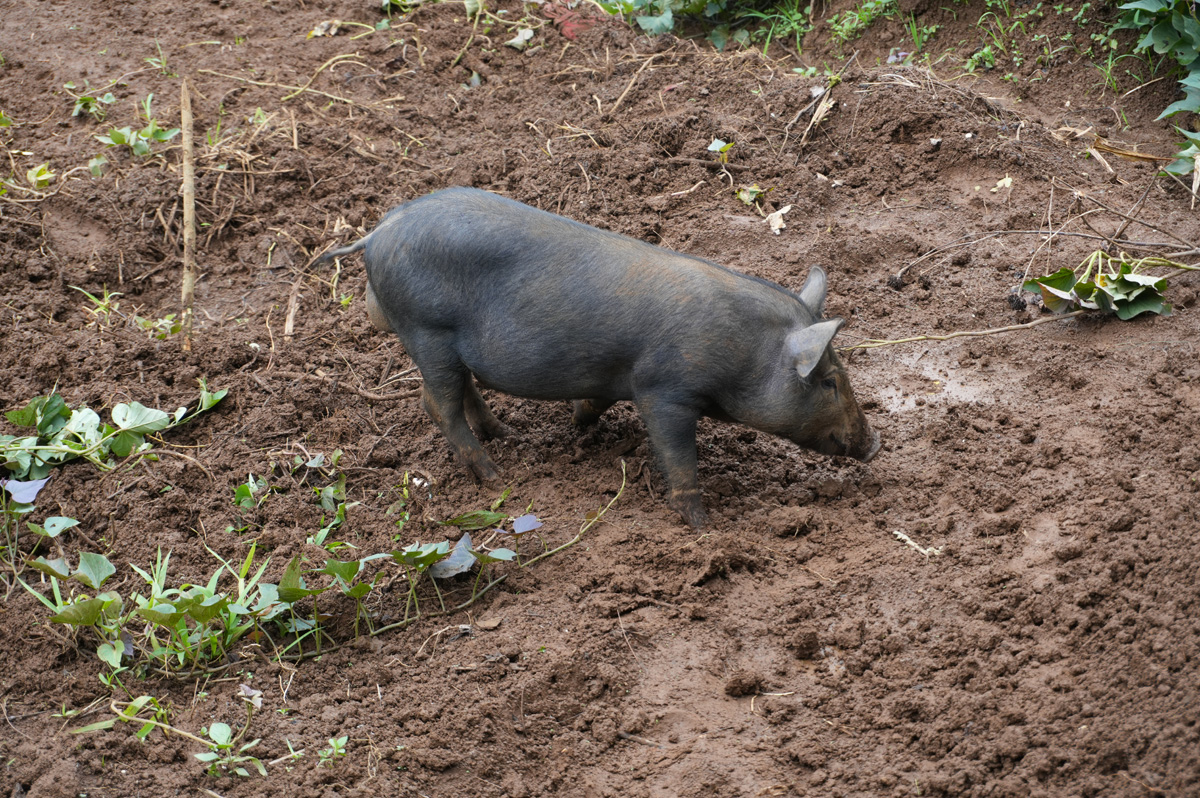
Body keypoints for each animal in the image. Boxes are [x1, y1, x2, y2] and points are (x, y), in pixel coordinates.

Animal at [319, 187, 879, 528]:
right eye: (829, 381)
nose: (874, 446)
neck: (745, 350)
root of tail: (378, 231)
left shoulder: (620, 377)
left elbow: (596, 401)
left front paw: (578, 422)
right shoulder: (665, 390)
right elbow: (679, 455)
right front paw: (702, 525)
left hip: (445, 344)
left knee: (462, 390)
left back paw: (507, 434)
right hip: (425, 331)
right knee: (435, 404)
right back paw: (495, 474)